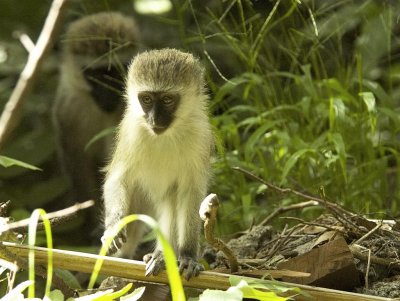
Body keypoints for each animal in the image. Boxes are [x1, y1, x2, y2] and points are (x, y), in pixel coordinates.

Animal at [103, 47, 214, 278]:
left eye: (167, 99)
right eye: (146, 99)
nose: (154, 119)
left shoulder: (200, 135)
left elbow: (190, 193)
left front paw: (188, 255)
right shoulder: (131, 130)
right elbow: (117, 179)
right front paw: (114, 228)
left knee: (171, 198)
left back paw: (163, 256)